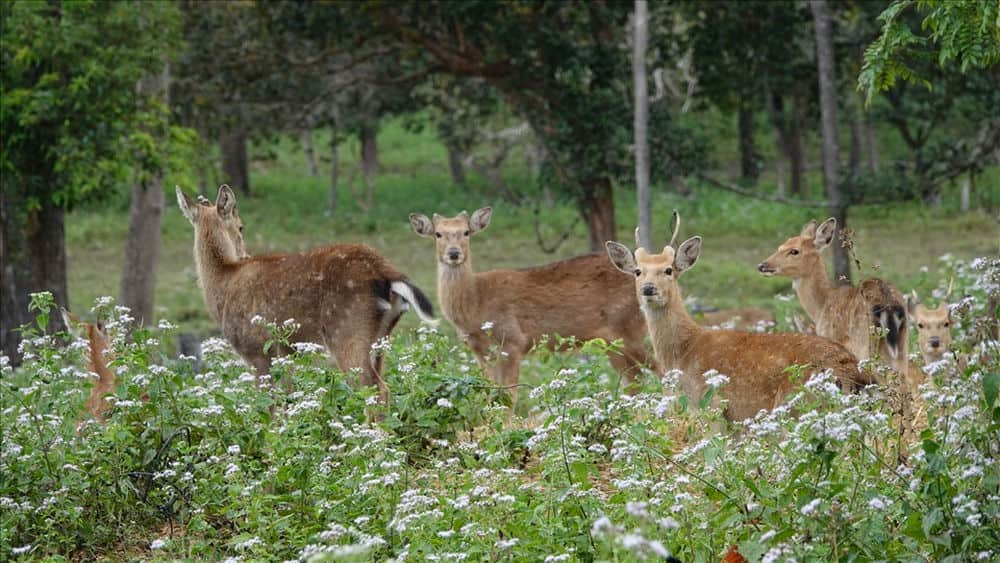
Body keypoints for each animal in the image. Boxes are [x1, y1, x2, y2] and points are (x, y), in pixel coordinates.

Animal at [177, 185, 436, 405]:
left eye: (241, 226)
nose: (245, 253)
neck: (224, 282)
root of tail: (388, 274)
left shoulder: (256, 351)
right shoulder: (287, 356)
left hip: (347, 331)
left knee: (374, 389)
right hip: (382, 340)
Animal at [409, 207, 654, 404]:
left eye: (466, 232)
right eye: (438, 234)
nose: (454, 253)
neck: (475, 303)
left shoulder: (512, 341)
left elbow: (508, 397)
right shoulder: (479, 350)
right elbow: (491, 394)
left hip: (632, 331)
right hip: (613, 343)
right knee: (635, 383)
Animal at [606, 214, 871, 422]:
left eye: (669, 270)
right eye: (638, 271)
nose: (648, 289)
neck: (685, 352)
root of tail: (853, 373)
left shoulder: (711, 407)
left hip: (798, 405)